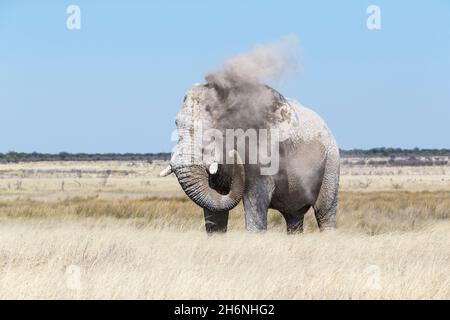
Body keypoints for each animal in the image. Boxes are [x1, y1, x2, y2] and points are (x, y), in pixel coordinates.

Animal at [160, 81, 340, 234]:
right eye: (176, 123)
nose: (234, 156)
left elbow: (255, 203)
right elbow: (215, 209)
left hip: (331, 161)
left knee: (324, 212)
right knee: (293, 218)